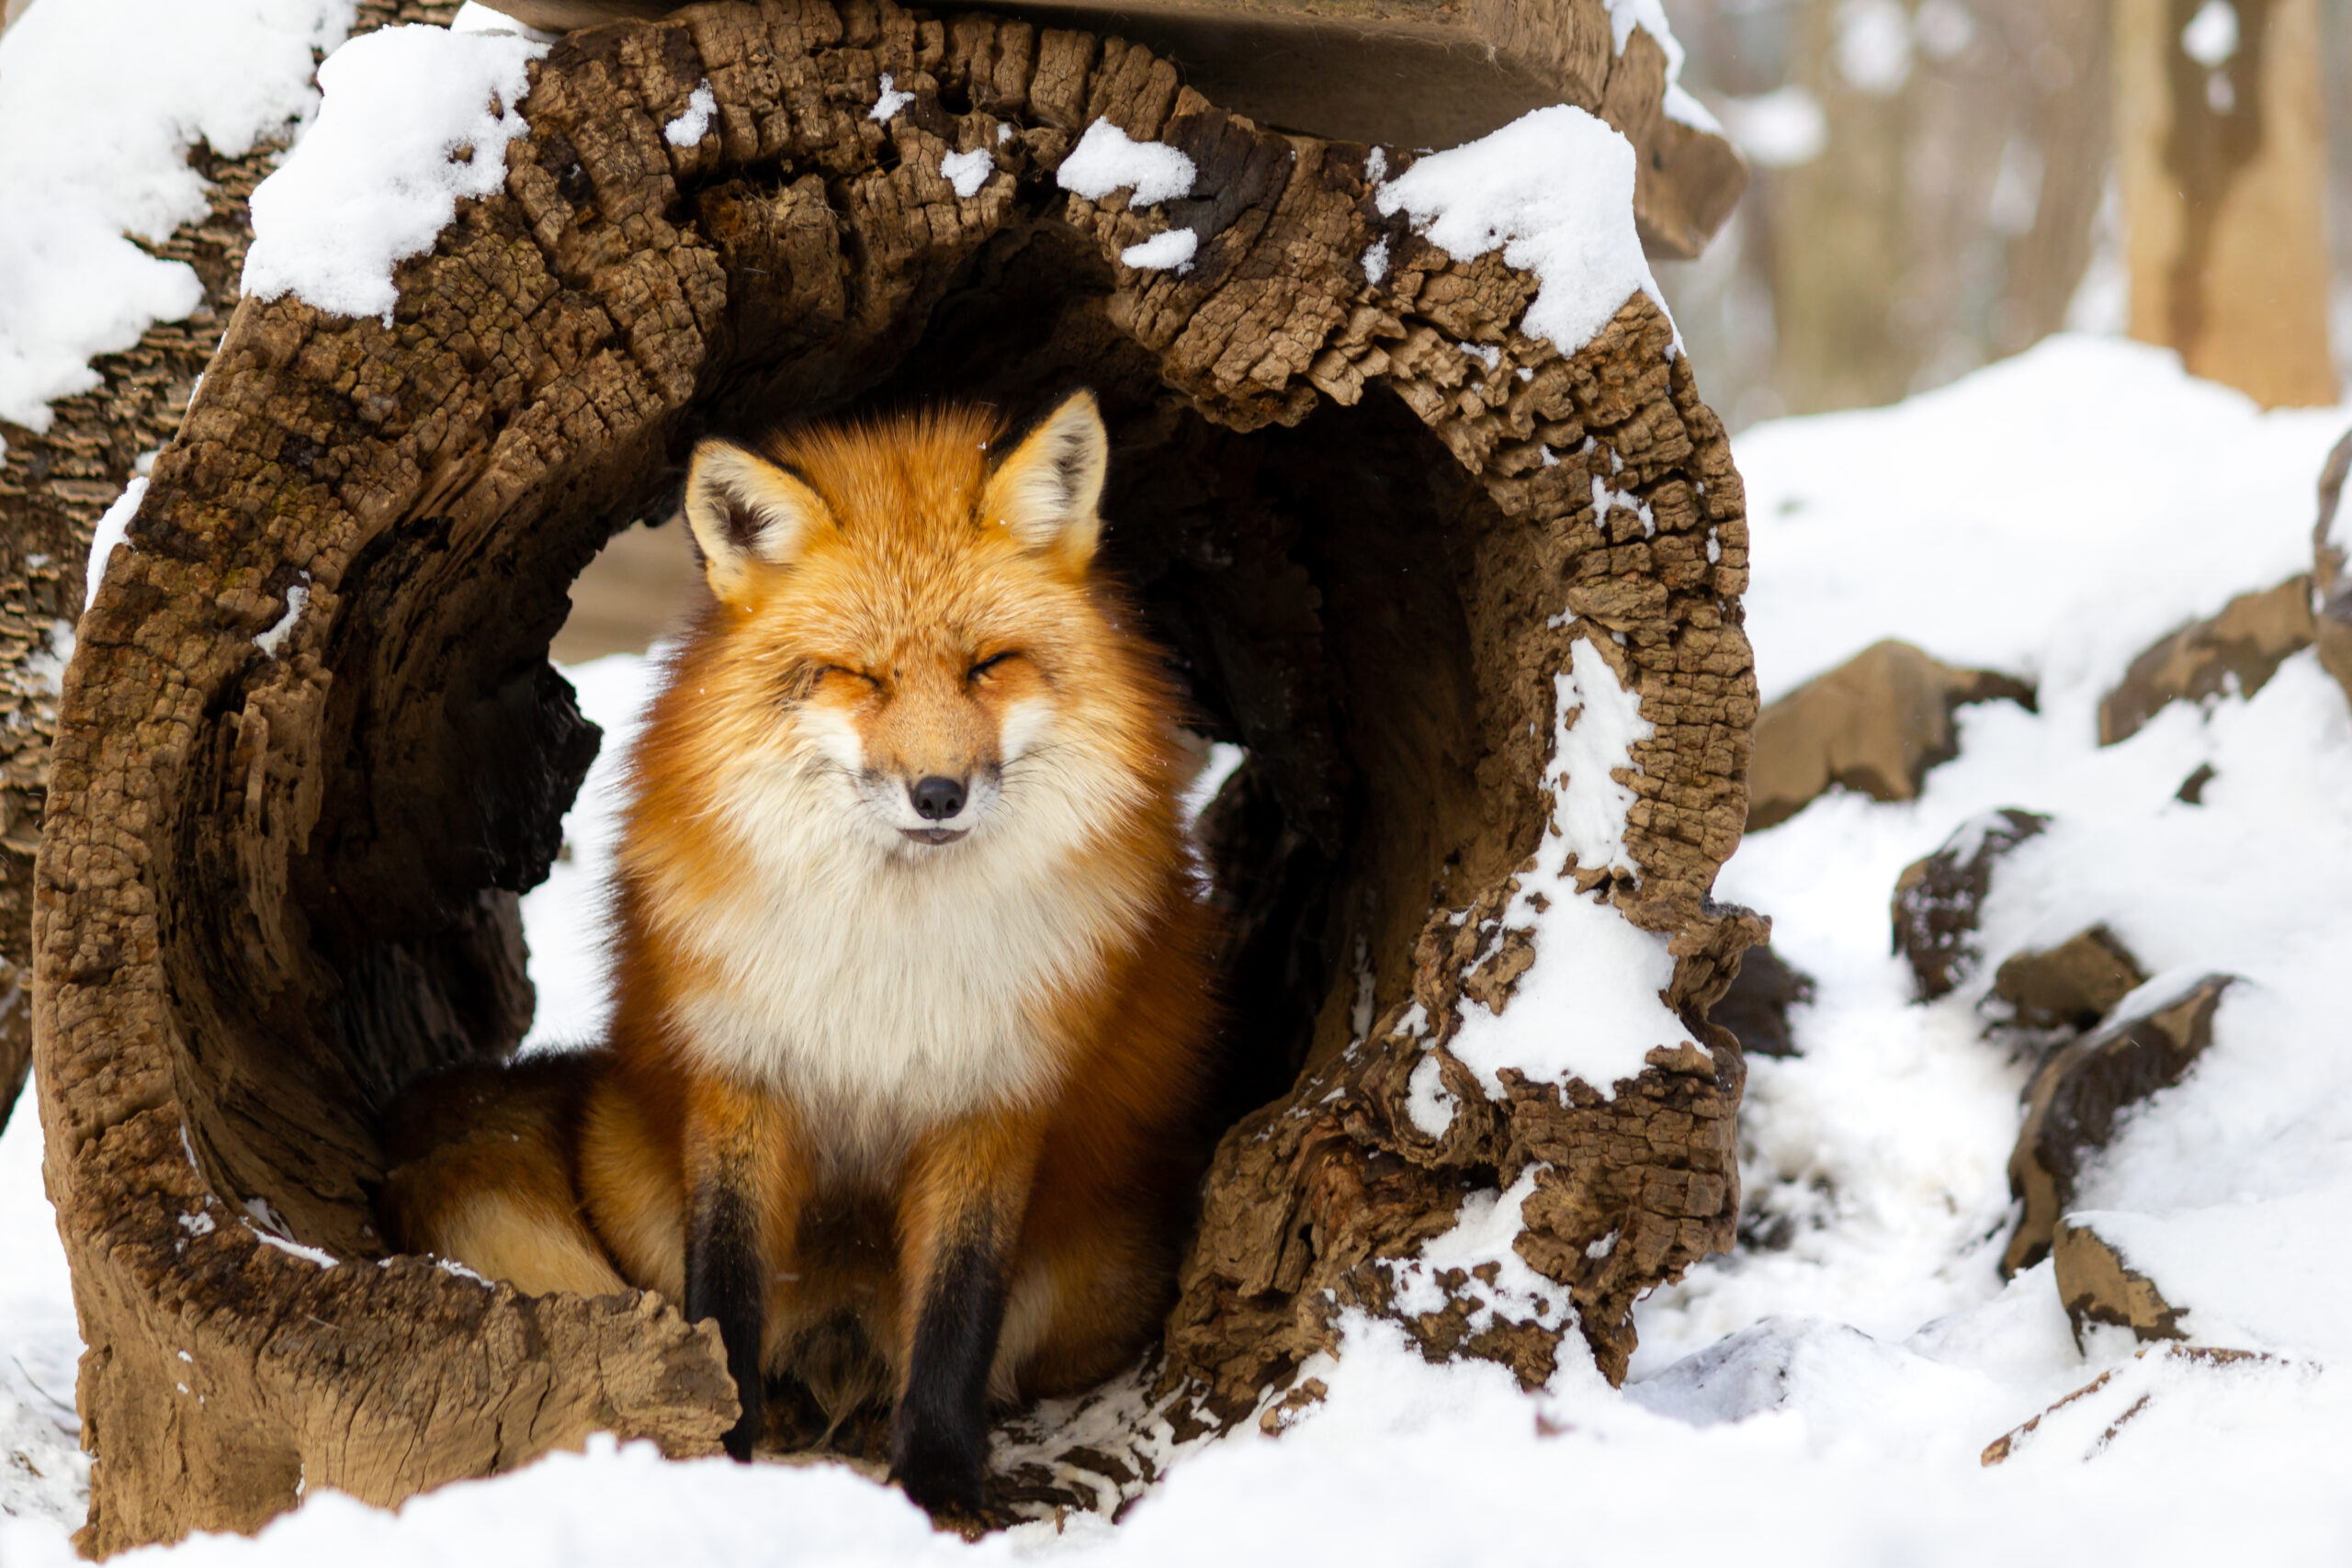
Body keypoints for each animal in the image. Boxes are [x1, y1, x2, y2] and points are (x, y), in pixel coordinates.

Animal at [376, 394, 1223, 1523]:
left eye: (987, 665)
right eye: (861, 676)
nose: (939, 794)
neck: (890, 959)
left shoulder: (994, 1102)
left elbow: (956, 1319)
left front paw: (940, 1485)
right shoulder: (744, 1080)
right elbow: (726, 1294)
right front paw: (722, 1445)